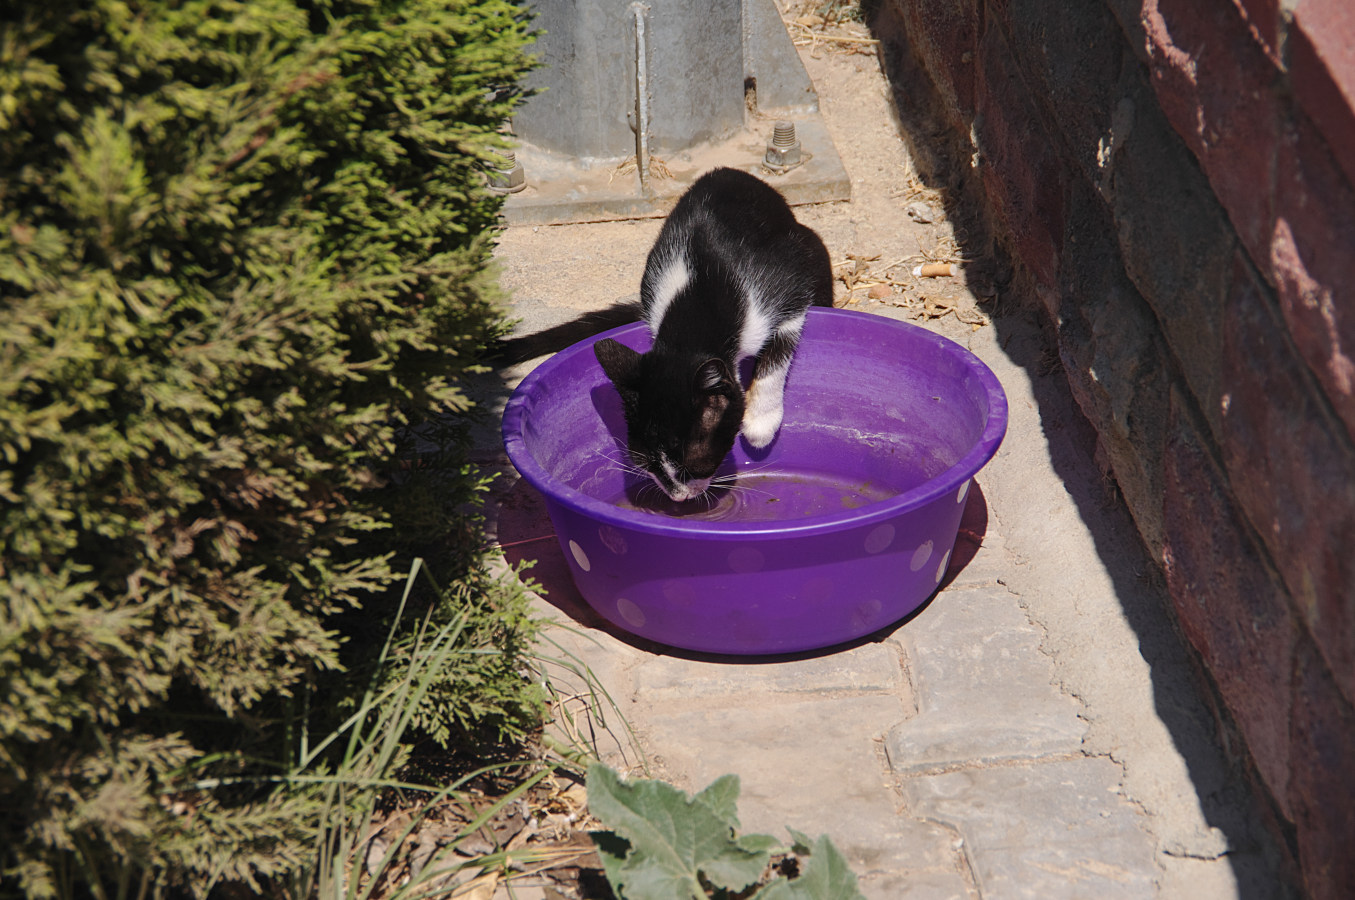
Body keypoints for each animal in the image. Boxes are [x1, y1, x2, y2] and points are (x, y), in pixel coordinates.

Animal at [591, 167, 833, 502]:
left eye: (696, 466)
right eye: (645, 465)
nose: (678, 496)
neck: (696, 303)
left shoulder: (785, 288)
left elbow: (779, 349)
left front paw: (761, 422)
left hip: (804, 244)